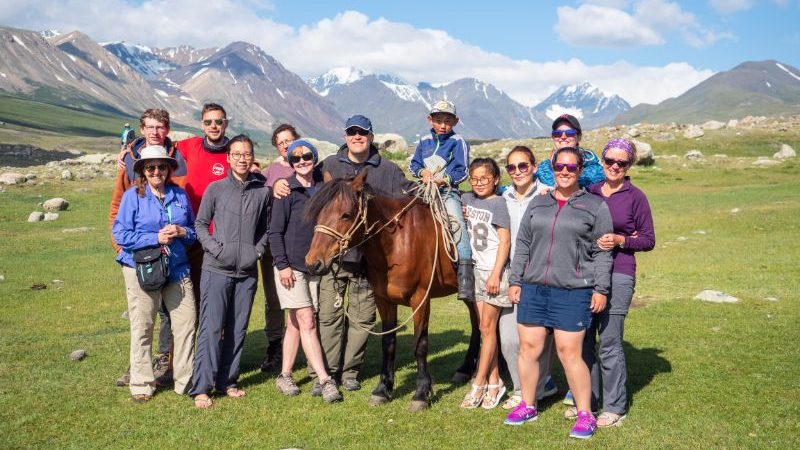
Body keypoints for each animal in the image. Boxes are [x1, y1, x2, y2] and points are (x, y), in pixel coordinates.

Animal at [304, 171, 482, 412]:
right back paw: (466, 369)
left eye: (346, 215)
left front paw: (421, 393)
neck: (397, 242)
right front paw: (382, 389)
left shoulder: (420, 299)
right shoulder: (384, 300)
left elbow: (420, 344)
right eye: (319, 213)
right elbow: (388, 343)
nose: (313, 263)